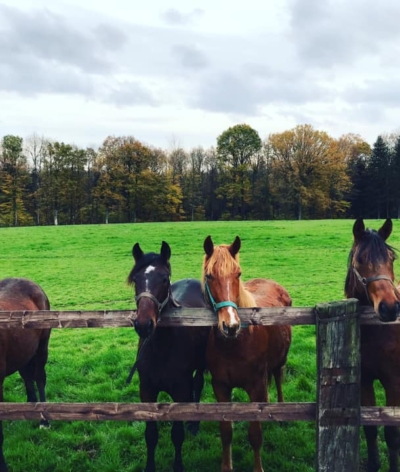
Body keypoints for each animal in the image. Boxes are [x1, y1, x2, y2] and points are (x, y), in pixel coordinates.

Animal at [127, 242, 209, 472]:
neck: (161, 350)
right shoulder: (147, 391)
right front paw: (150, 467)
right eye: (136, 279)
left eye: (164, 279)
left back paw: (194, 424)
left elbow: (177, 435)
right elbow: (150, 435)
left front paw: (178, 466)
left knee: (197, 384)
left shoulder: (180, 391)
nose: (143, 324)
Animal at [203, 235, 290, 472]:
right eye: (209, 275)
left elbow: (255, 435)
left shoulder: (255, 386)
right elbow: (226, 432)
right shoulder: (220, 387)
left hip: (279, 362)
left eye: (238, 274)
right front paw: (226, 466)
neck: (235, 344)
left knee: (278, 378)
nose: (230, 325)